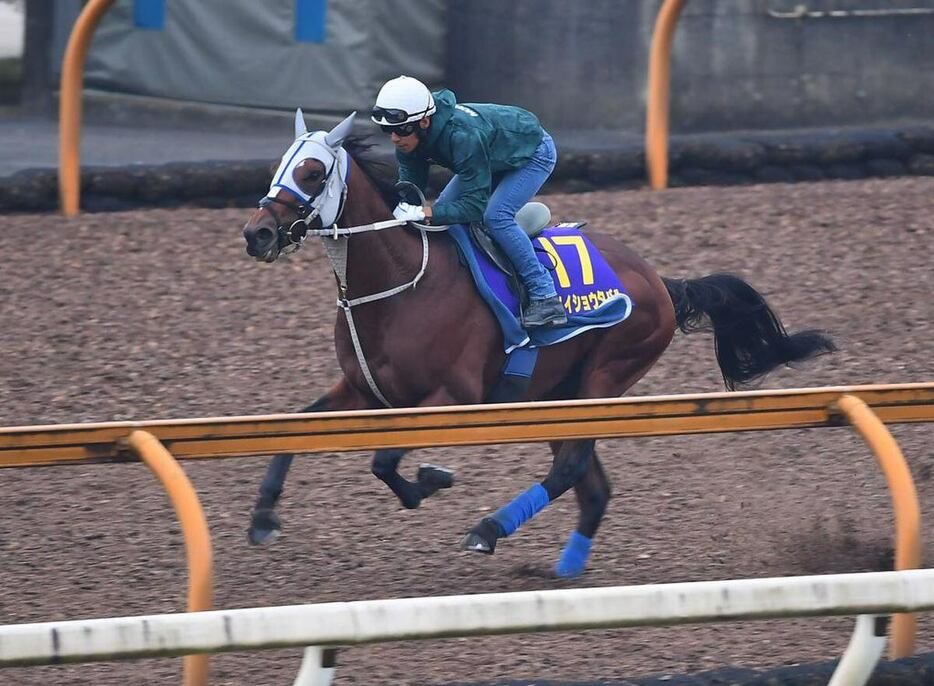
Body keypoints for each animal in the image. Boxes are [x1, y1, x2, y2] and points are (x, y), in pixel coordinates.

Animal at [239, 114, 832, 580]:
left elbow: (384, 461)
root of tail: (662, 281)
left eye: (313, 172)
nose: (257, 234)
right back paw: (564, 568)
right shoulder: (364, 391)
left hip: (604, 379)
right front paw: (264, 518)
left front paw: (431, 480)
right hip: (557, 395)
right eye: (278, 167)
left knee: (571, 469)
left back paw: (488, 529)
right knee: (593, 487)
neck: (401, 284)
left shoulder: (454, 397)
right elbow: (297, 429)